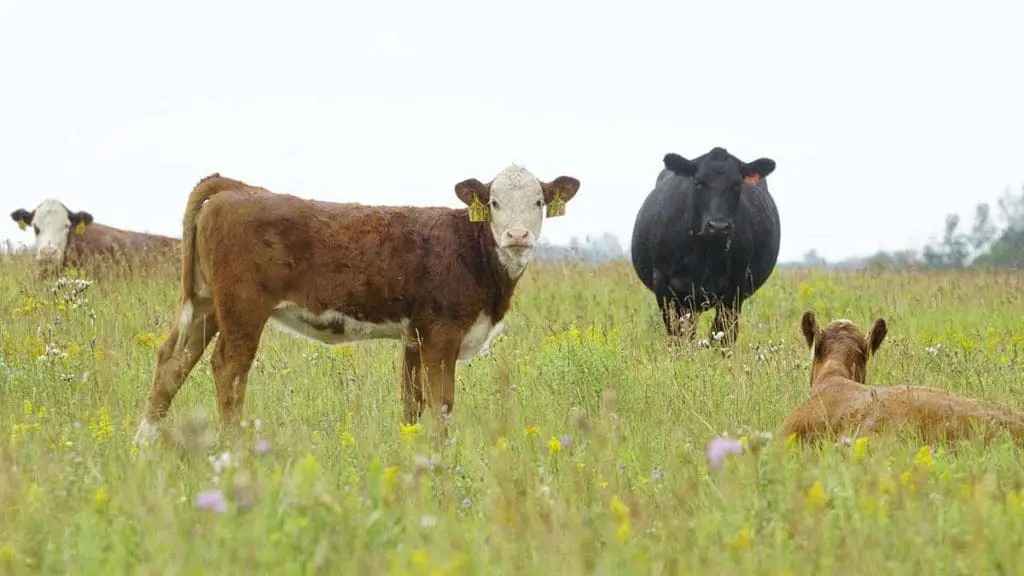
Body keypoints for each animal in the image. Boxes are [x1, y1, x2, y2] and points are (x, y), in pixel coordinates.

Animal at [132, 167, 581, 447]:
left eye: (539, 201)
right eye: (494, 203)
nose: (517, 235)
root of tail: (235, 187)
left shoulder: (414, 336)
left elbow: (412, 404)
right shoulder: (441, 334)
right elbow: (441, 405)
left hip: (206, 304)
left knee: (173, 361)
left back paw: (142, 445)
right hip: (243, 308)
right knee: (228, 368)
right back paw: (235, 451)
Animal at [629, 147, 780, 346]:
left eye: (736, 185)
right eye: (698, 183)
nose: (719, 226)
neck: (705, 255)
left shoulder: (734, 289)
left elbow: (722, 336)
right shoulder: (664, 286)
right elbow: (677, 337)